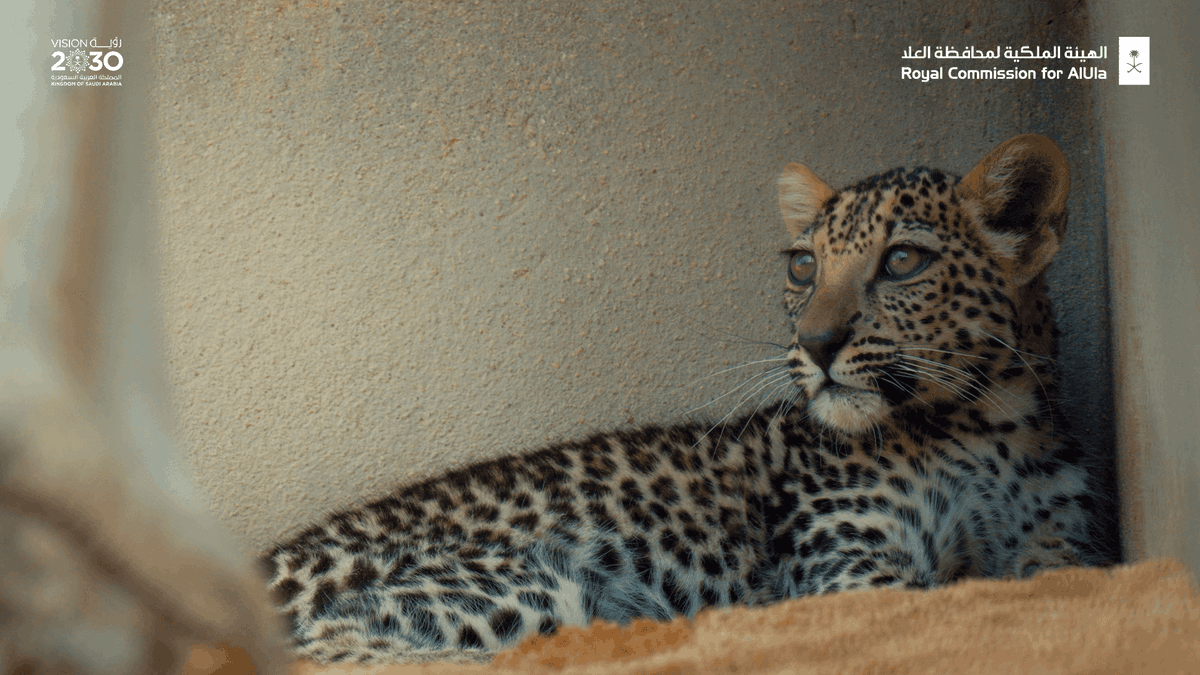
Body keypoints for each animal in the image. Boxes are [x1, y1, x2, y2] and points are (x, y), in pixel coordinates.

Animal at [262, 134, 1108, 665]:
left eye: (902, 261)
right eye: (804, 266)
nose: (817, 344)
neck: (982, 430)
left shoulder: (1064, 543)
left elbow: (1051, 589)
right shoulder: (848, 566)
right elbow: (945, 607)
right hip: (529, 584)